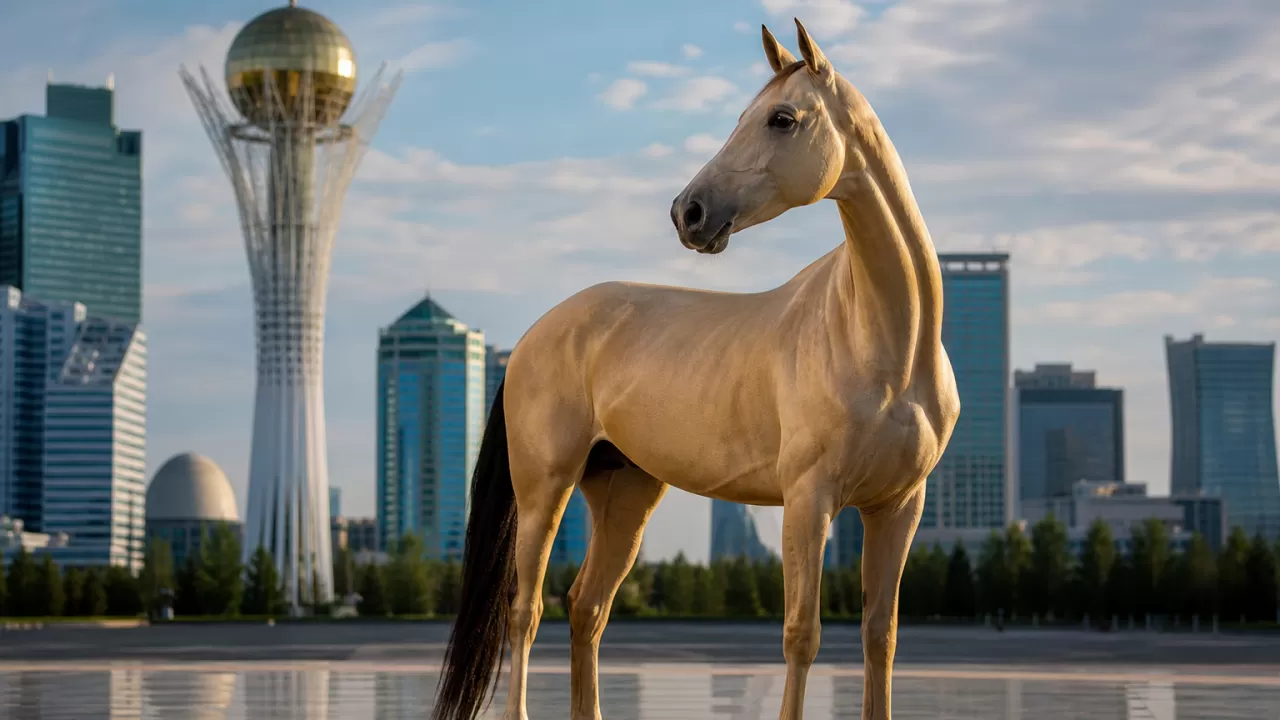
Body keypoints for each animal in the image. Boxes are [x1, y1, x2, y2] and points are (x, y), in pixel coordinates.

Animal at [432, 19, 960, 720]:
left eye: (782, 119)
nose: (689, 212)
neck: (883, 343)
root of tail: (529, 339)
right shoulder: (809, 499)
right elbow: (802, 635)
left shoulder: (898, 506)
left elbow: (881, 635)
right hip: (544, 487)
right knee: (526, 610)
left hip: (624, 492)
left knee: (586, 607)